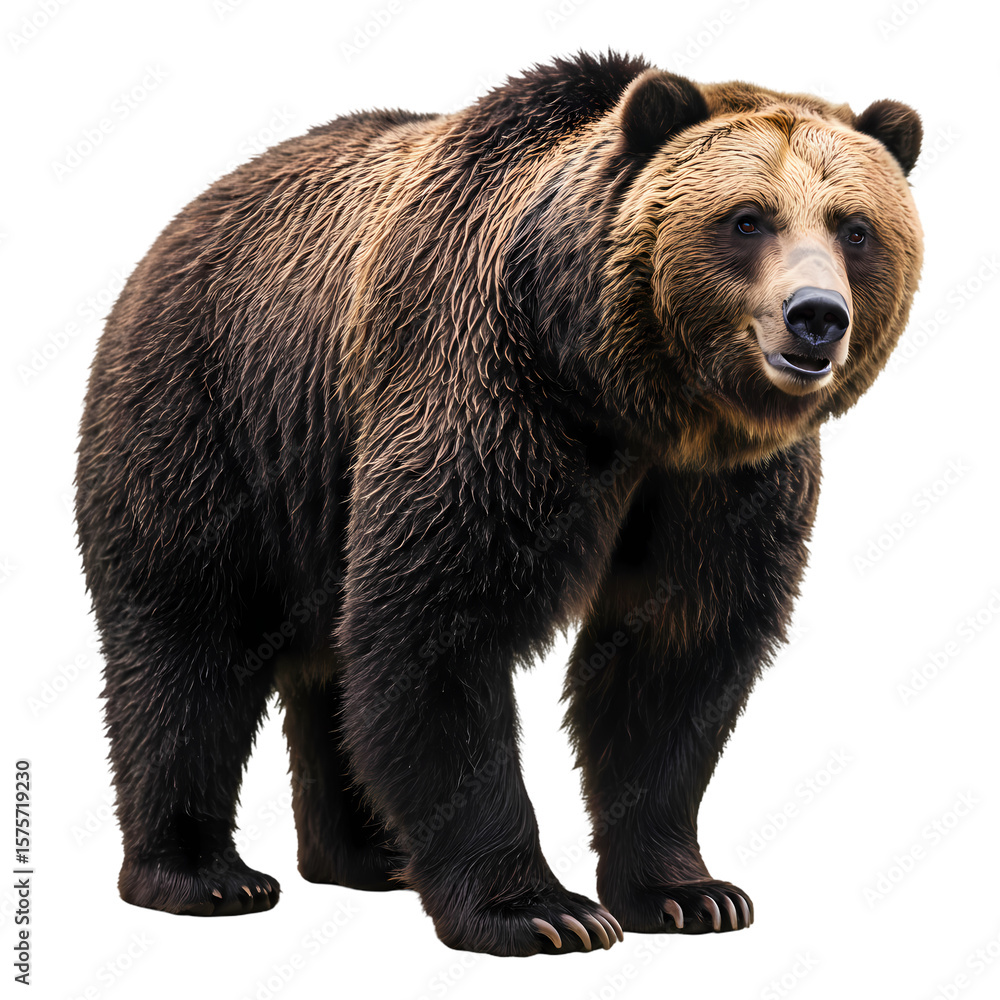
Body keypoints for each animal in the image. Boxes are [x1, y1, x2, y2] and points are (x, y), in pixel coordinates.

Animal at [75, 51, 923, 956]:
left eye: (855, 227)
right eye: (747, 218)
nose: (816, 318)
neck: (635, 395)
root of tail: (178, 223)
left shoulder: (722, 484)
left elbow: (676, 652)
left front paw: (691, 894)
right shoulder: (493, 395)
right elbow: (442, 624)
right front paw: (541, 910)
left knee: (329, 661)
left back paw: (369, 854)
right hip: (214, 417)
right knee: (191, 638)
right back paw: (204, 874)